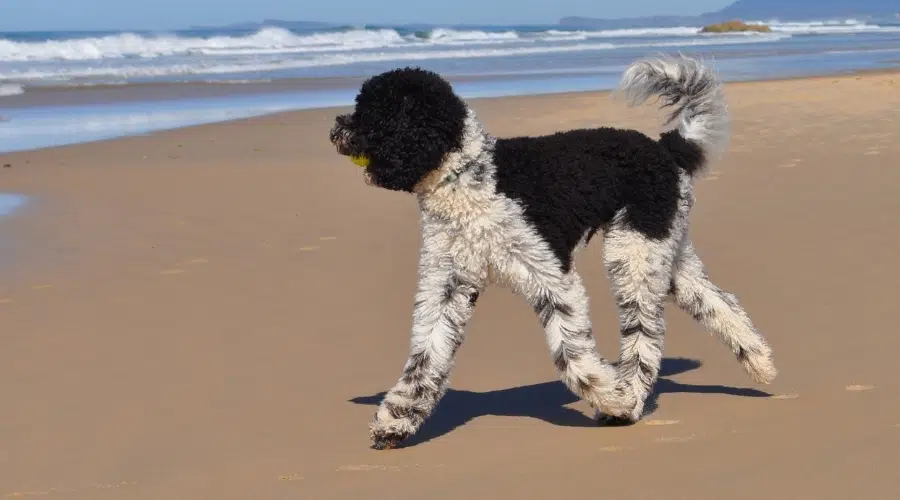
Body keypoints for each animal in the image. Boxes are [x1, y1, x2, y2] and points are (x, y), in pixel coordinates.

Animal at [326, 54, 776, 450]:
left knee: (645, 335)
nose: (334, 127)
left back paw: (628, 400)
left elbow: (573, 360)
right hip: (665, 252)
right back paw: (759, 361)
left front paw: (613, 397)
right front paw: (396, 422)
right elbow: (425, 358)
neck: (469, 178)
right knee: (720, 303)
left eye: (371, 111)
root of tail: (666, 149)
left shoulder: (551, 277)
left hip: (633, 254)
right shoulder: (445, 285)